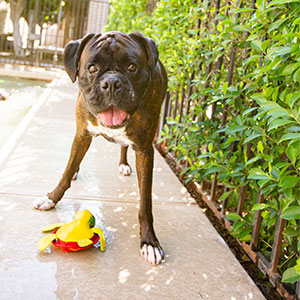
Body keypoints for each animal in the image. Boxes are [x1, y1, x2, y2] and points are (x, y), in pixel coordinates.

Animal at [34, 30, 169, 264]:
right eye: (92, 68)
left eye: (132, 67)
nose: (112, 82)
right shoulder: (82, 134)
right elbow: (68, 169)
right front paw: (51, 198)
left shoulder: (145, 150)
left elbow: (145, 201)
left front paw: (150, 242)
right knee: (76, 160)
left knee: (123, 147)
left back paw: (123, 164)